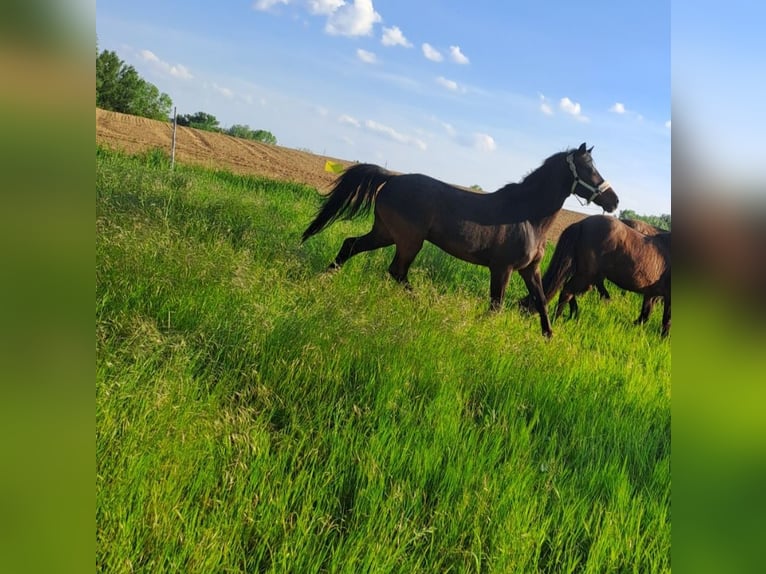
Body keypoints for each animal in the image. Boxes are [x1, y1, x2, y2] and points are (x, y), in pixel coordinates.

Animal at [300, 143, 619, 337]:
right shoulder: (502, 269)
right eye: (589, 168)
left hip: (385, 233)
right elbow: (496, 304)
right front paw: (482, 328)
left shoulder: (530, 269)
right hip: (408, 240)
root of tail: (392, 177)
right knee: (397, 271)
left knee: (351, 245)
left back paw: (324, 279)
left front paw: (549, 336)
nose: (614, 201)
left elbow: (540, 300)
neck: (528, 216)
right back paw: (422, 304)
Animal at [522, 215, 671, 336]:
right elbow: (666, 319)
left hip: (585, 275)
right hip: (586, 275)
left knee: (569, 290)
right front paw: (663, 339)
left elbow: (645, 314)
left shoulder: (651, 294)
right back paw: (557, 320)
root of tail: (582, 223)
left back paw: (572, 316)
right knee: (567, 292)